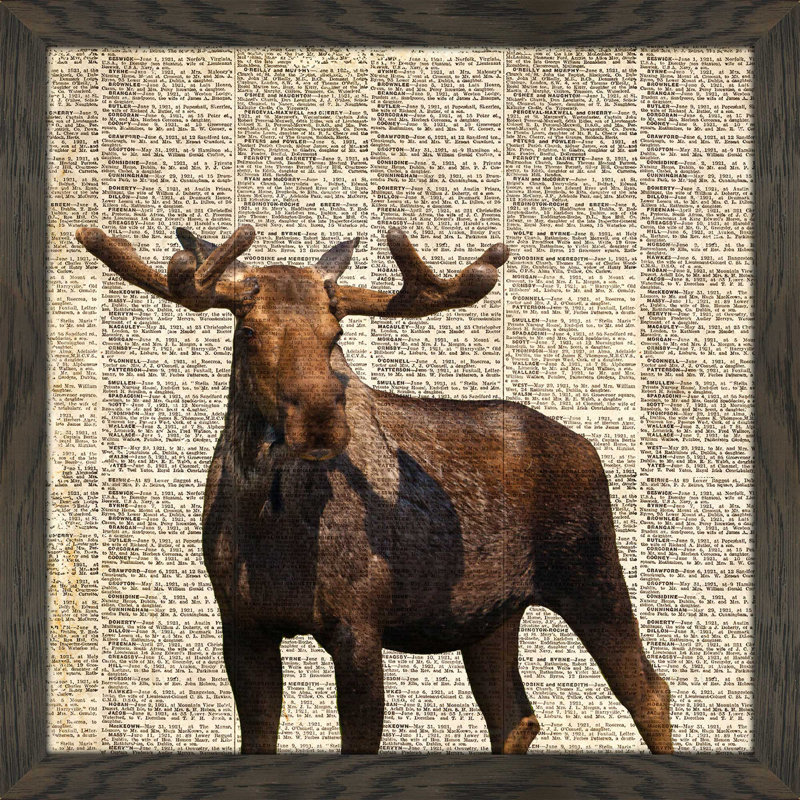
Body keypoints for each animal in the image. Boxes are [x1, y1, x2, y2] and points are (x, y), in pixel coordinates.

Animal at [75, 223, 673, 755]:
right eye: (247, 331)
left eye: (335, 335)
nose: (320, 421)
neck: (271, 530)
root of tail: (588, 447)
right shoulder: (242, 625)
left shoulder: (359, 627)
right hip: (490, 618)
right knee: (516, 720)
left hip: (590, 573)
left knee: (650, 691)